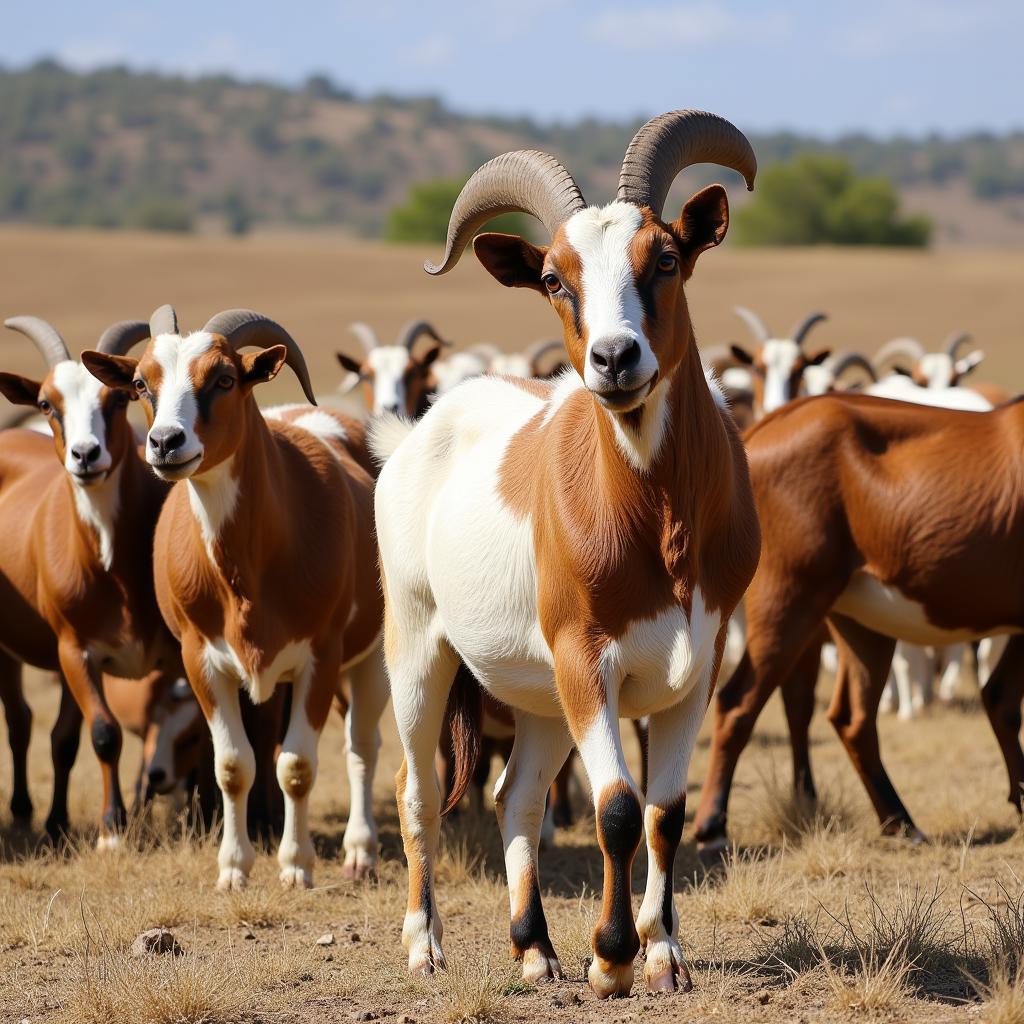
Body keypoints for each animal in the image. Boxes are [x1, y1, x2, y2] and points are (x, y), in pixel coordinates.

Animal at [0, 315, 176, 843]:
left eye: (119, 397)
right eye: (46, 404)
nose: (85, 455)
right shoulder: (77, 652)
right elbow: (102, 733)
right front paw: (112, 828)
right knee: (20, 720)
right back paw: (23, 810)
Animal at [82, 305, 387, 888]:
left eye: (223, 379)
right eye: (141, 384)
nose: (165, 442)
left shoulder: (322, 656)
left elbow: (298, 765)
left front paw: (296, 865)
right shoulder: (202, 659)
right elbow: (232, 764)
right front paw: (234, 867)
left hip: (373, 654)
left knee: (362, 745)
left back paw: (360, 851)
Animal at [372, 110, 765, 991]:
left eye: (664, 257)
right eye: (555, 278)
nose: (615, 359)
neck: (659, 523)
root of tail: (415, 436)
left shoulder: (696, 669)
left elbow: (664, 812)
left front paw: (664, 955)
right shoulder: (590, 663)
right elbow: (615, 808)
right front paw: (612, 958)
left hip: (541, 697)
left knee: (514, 795)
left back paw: (535, 949)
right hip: (420, 650)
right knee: (419, 792)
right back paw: (423, 945)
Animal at [692, 391, 1024, 856]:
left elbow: (1002, 700)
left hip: (863, 624)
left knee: (853, 719)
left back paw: (901, 822)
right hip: (789, 601)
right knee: (738, 703)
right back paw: (712, 826)